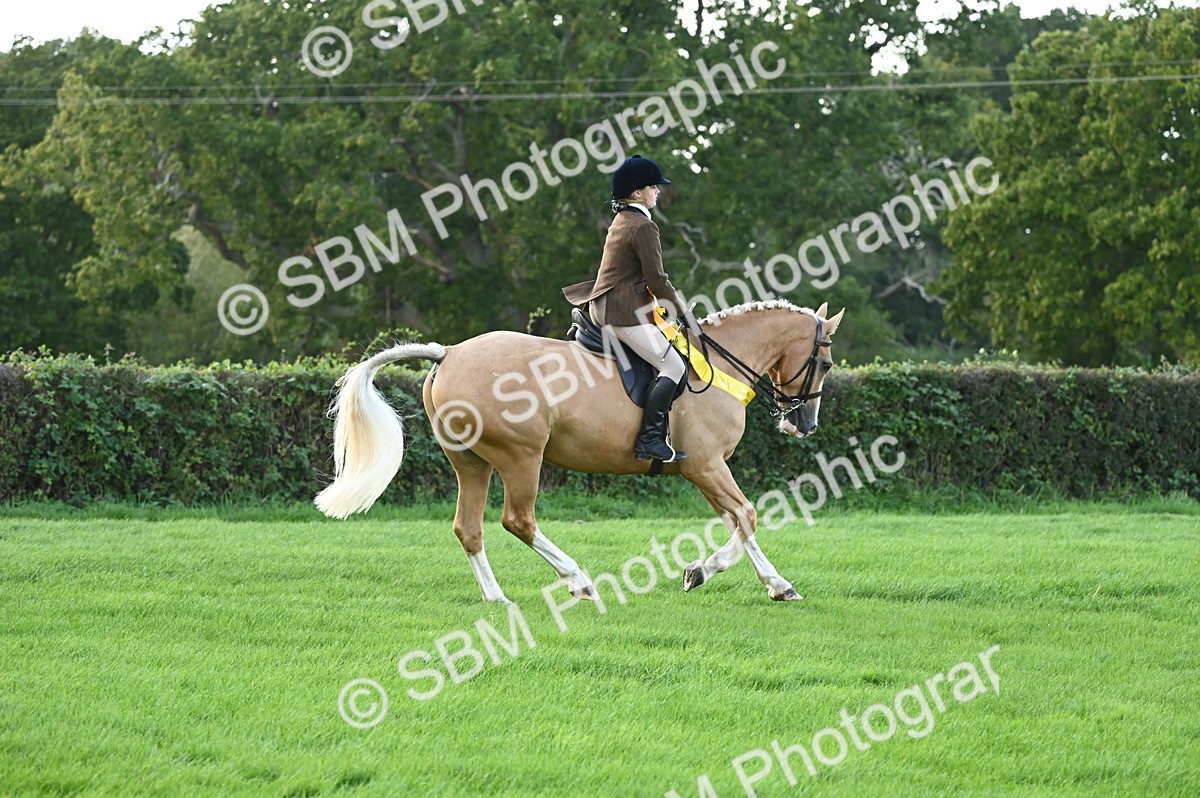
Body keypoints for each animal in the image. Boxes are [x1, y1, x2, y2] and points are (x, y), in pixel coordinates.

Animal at [314, 299, 844, 603]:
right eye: (825, 362)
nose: (803, 424)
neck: (718, 365)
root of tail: (450, 353)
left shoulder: (707, 471)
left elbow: (738, 520)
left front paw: (777, 585)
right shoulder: (707, 466)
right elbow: (748, 515)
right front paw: (700, 571)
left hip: (472, 462)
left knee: (468, 528)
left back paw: (497, 598)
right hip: (521, 457)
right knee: (518, 521)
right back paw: (578, 581)